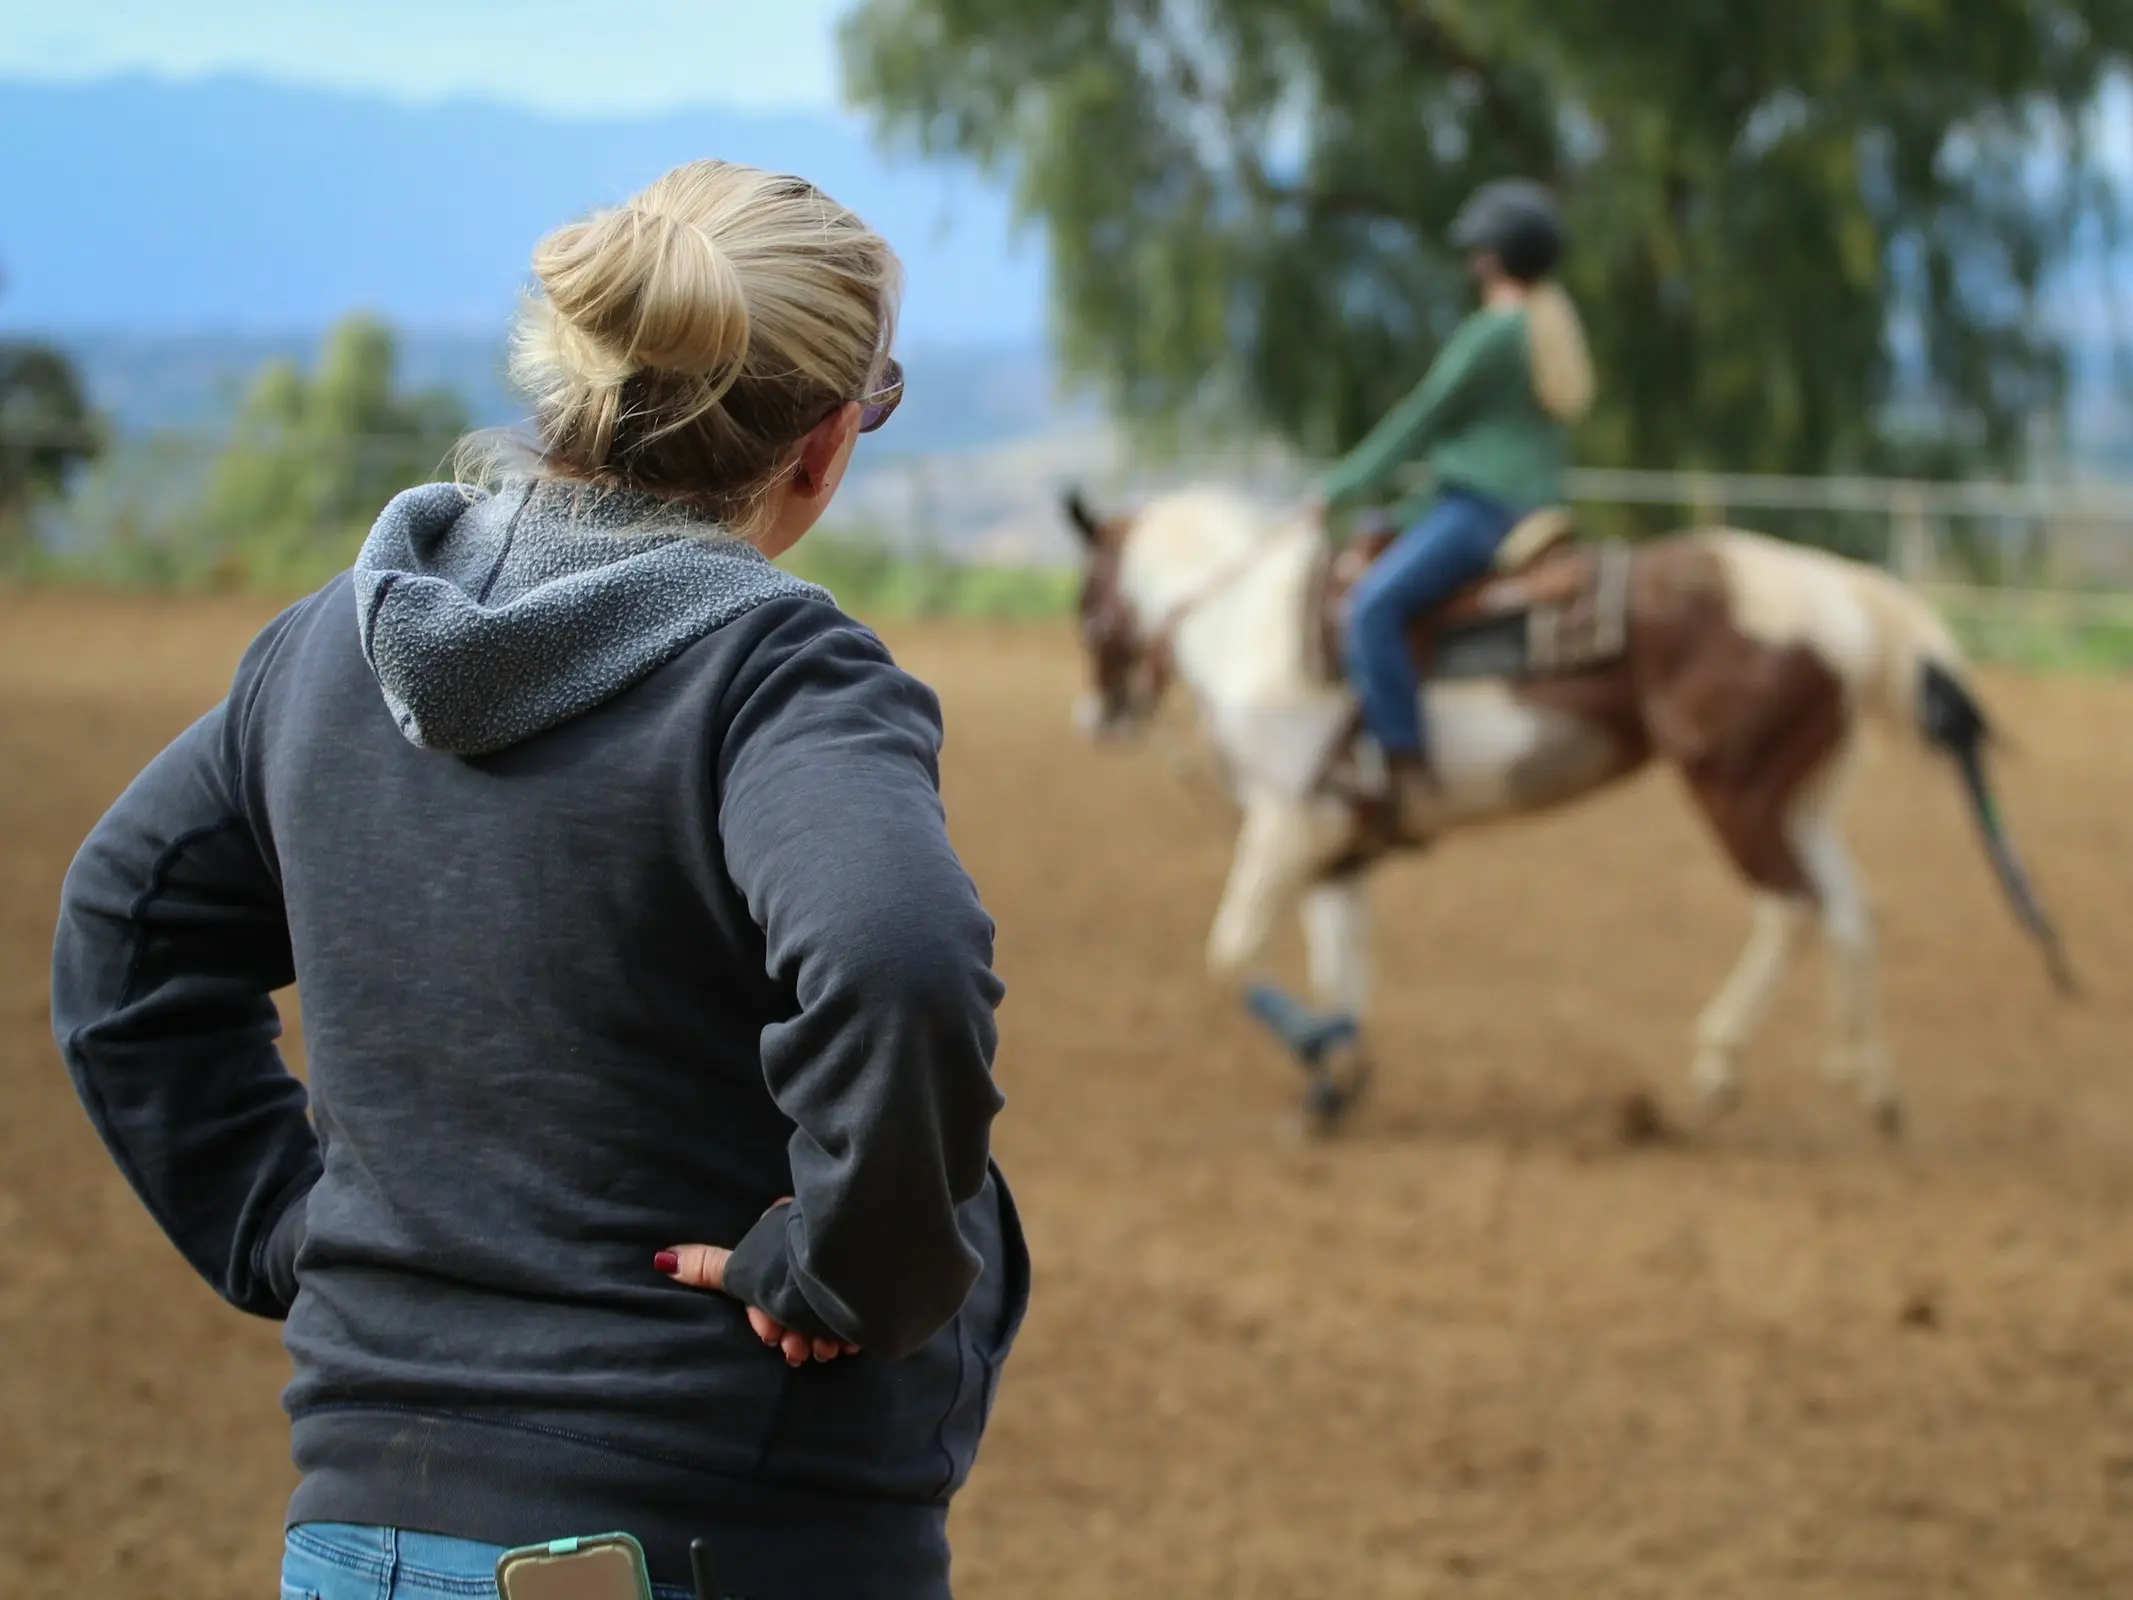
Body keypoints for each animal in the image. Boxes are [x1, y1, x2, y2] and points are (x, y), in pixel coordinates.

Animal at [1066, 488, 2064, 1143]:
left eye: (1084, 601)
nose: (1099, 715)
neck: (1247, 628)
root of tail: (1844, 593)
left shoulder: (1284, 822)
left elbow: (1232, 954)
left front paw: (1323, 1054)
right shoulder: (1336, 842)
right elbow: (1340, 963)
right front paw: (1334, 1083)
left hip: (1733, 792)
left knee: (1790, 908)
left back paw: (1717, 1066)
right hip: (1800, 797)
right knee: (1852, 912)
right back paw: (1870, 1086)